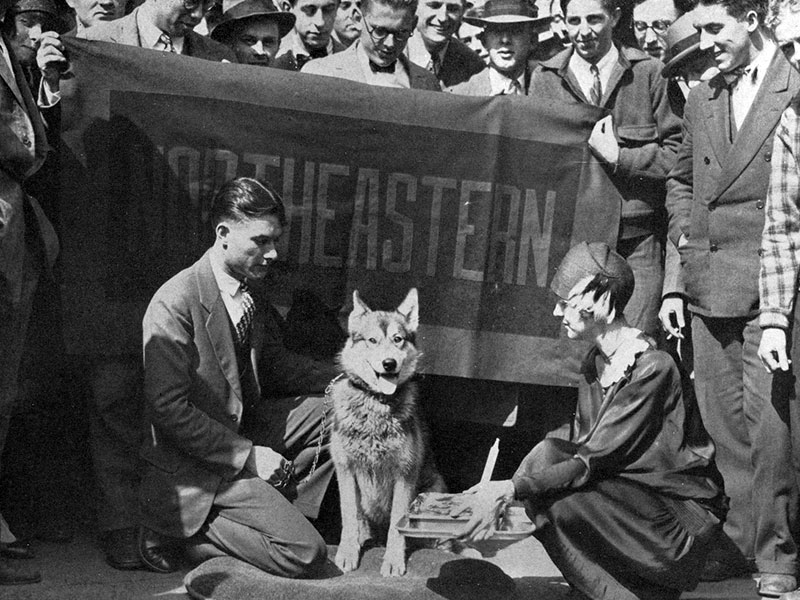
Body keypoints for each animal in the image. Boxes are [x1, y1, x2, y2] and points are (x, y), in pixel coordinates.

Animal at [328, 288, 446, 576]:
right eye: (372, 340)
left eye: (398, 339)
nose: (389, 363)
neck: (376, 404)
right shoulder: (345, 470)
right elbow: (350, 518)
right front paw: (348, 553)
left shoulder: (405, 474)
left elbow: (397, 525)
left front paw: (393, 560)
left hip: (432, 492)